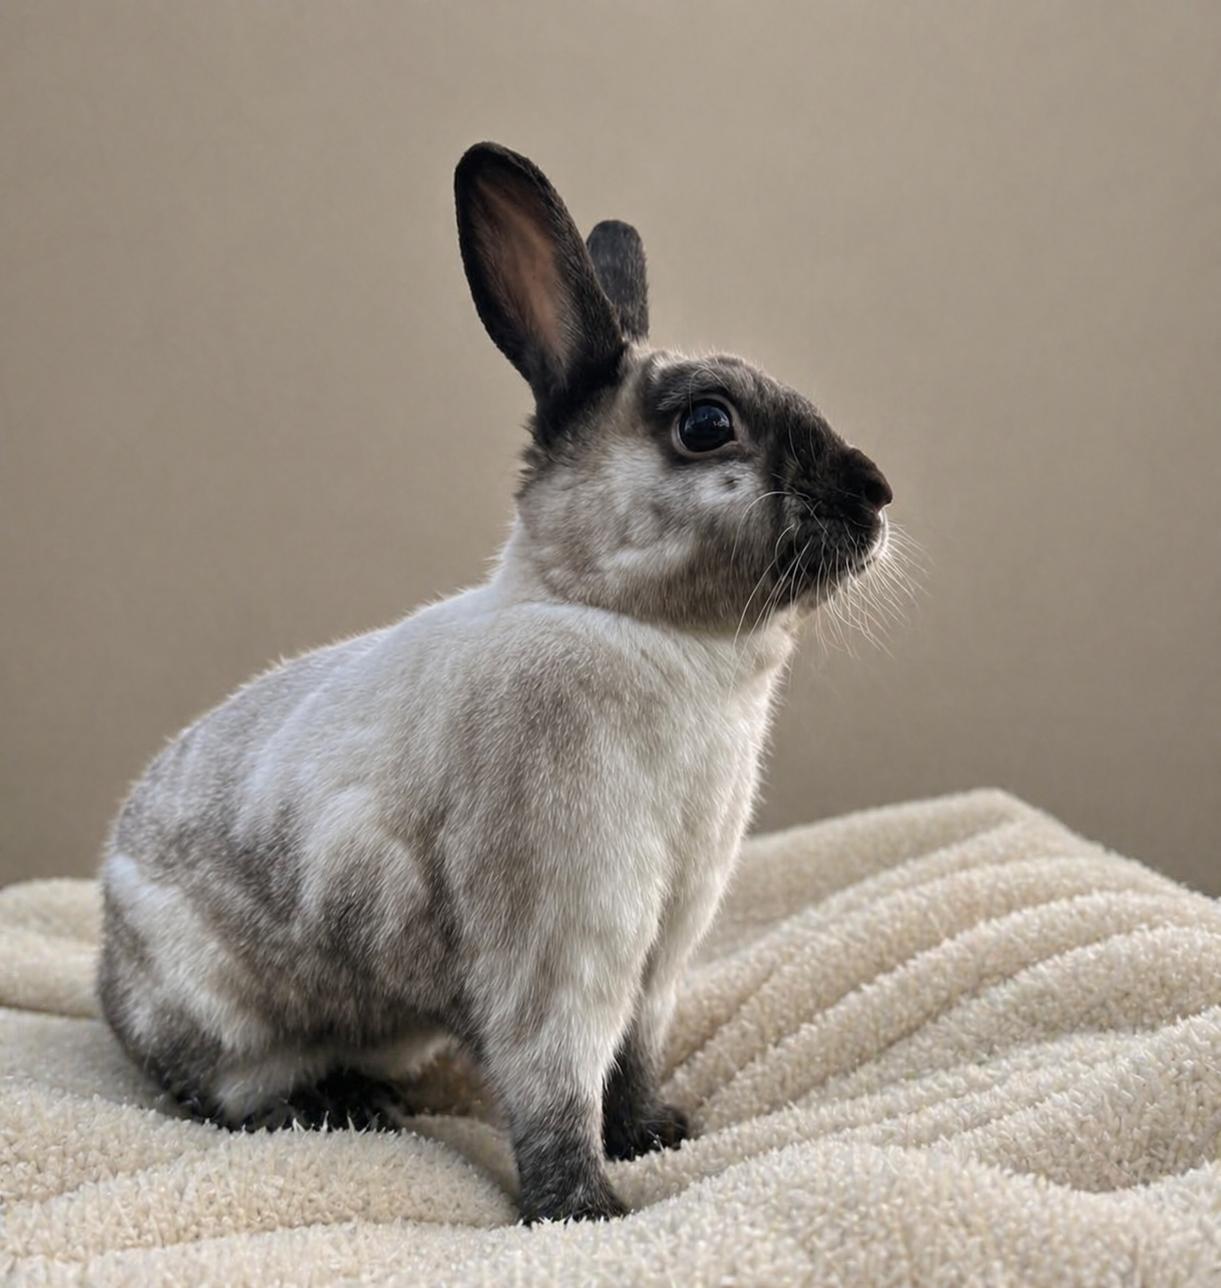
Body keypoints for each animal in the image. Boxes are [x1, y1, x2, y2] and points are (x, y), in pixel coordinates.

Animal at [97, 142, 893, 1224]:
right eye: (706, 425)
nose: (876, 495)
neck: (637, 629)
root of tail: (106, 961)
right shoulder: (562, 943)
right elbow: (555, 1082)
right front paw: (585, 1209)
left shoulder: (662, 952)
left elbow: (631, 1059)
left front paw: (657, 1133)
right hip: (216, 1009)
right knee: (230, 1090)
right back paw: (338, 1107)